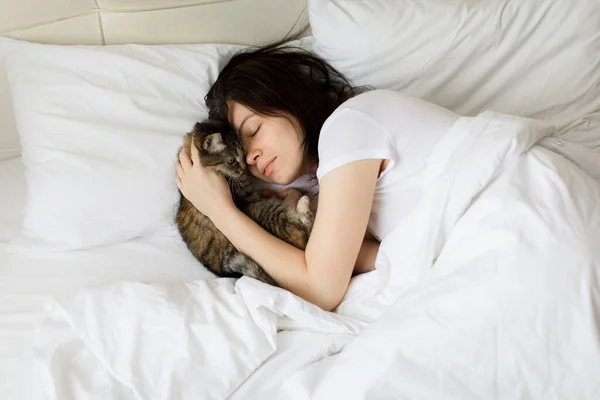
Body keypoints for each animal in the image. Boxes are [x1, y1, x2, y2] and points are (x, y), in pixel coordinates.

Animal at [175, 120, 312, 286]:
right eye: (231, 160)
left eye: (243, 154)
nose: (244, 168)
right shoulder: (247, 196)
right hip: (265, 213)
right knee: (305, 232)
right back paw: (303, 203)